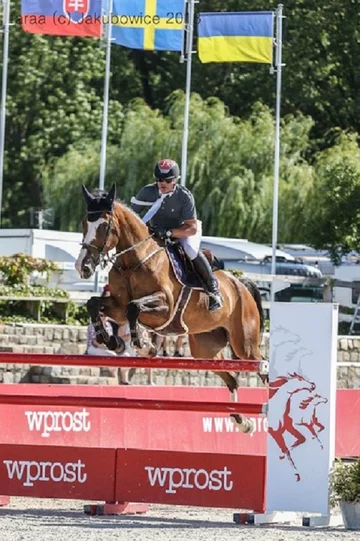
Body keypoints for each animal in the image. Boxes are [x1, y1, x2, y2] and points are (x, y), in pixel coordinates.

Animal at [76, 184, 266, 432]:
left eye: (104, 226)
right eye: (84, 223)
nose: (83, 267)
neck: (133, 262)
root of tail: (240, 284)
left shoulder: (164, 306)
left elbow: (133, 308)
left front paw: (143, 346)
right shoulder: (116, 305)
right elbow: (95, 304)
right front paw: (113, 342)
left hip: (245, 345)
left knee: (263, 370)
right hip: (204, 349)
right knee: (232, 379)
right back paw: (242, 421)